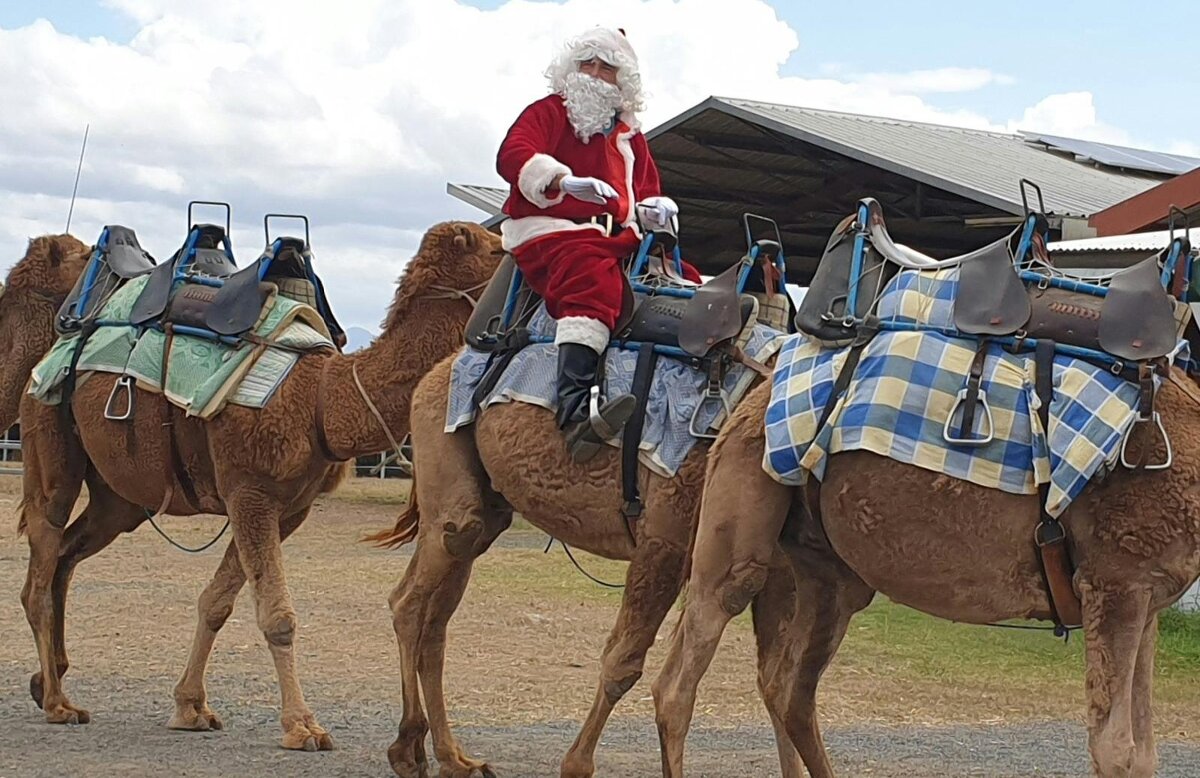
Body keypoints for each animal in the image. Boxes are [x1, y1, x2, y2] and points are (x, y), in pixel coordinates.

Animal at [16, 221, 502, 752]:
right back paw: (59, 702)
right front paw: (302, 726)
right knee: (42, 560)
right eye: (499, 250)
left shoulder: (287, 508)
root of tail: (54, 349)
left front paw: (191, 707)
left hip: (117, 498)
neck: (322, 396)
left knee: (66, 556)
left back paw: (47, 681)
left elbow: (217, 602)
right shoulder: (250, 492)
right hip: (48, 436)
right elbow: (278, 617)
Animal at [650, 355, 1200, 777]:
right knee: (680, 680)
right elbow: (1115, 750)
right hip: (743, 510)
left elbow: (1144, 754)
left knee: (790, 689)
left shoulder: (1146, 599)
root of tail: (753, 393)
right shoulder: (1116, 584)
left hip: (830, 573)